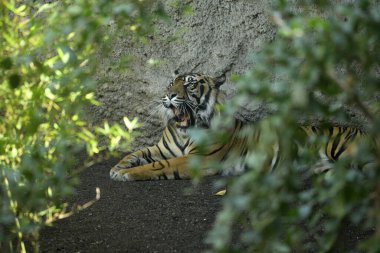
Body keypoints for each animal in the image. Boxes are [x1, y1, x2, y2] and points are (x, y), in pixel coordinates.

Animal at [109, 72, 366, 181]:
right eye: (172, 83)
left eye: (190, 84)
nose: (170, 95)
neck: (184, 131)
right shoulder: (161, 148)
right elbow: (137, 153)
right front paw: (117, 167)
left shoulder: (198, 159)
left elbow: (158, 166)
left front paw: (125, 174)